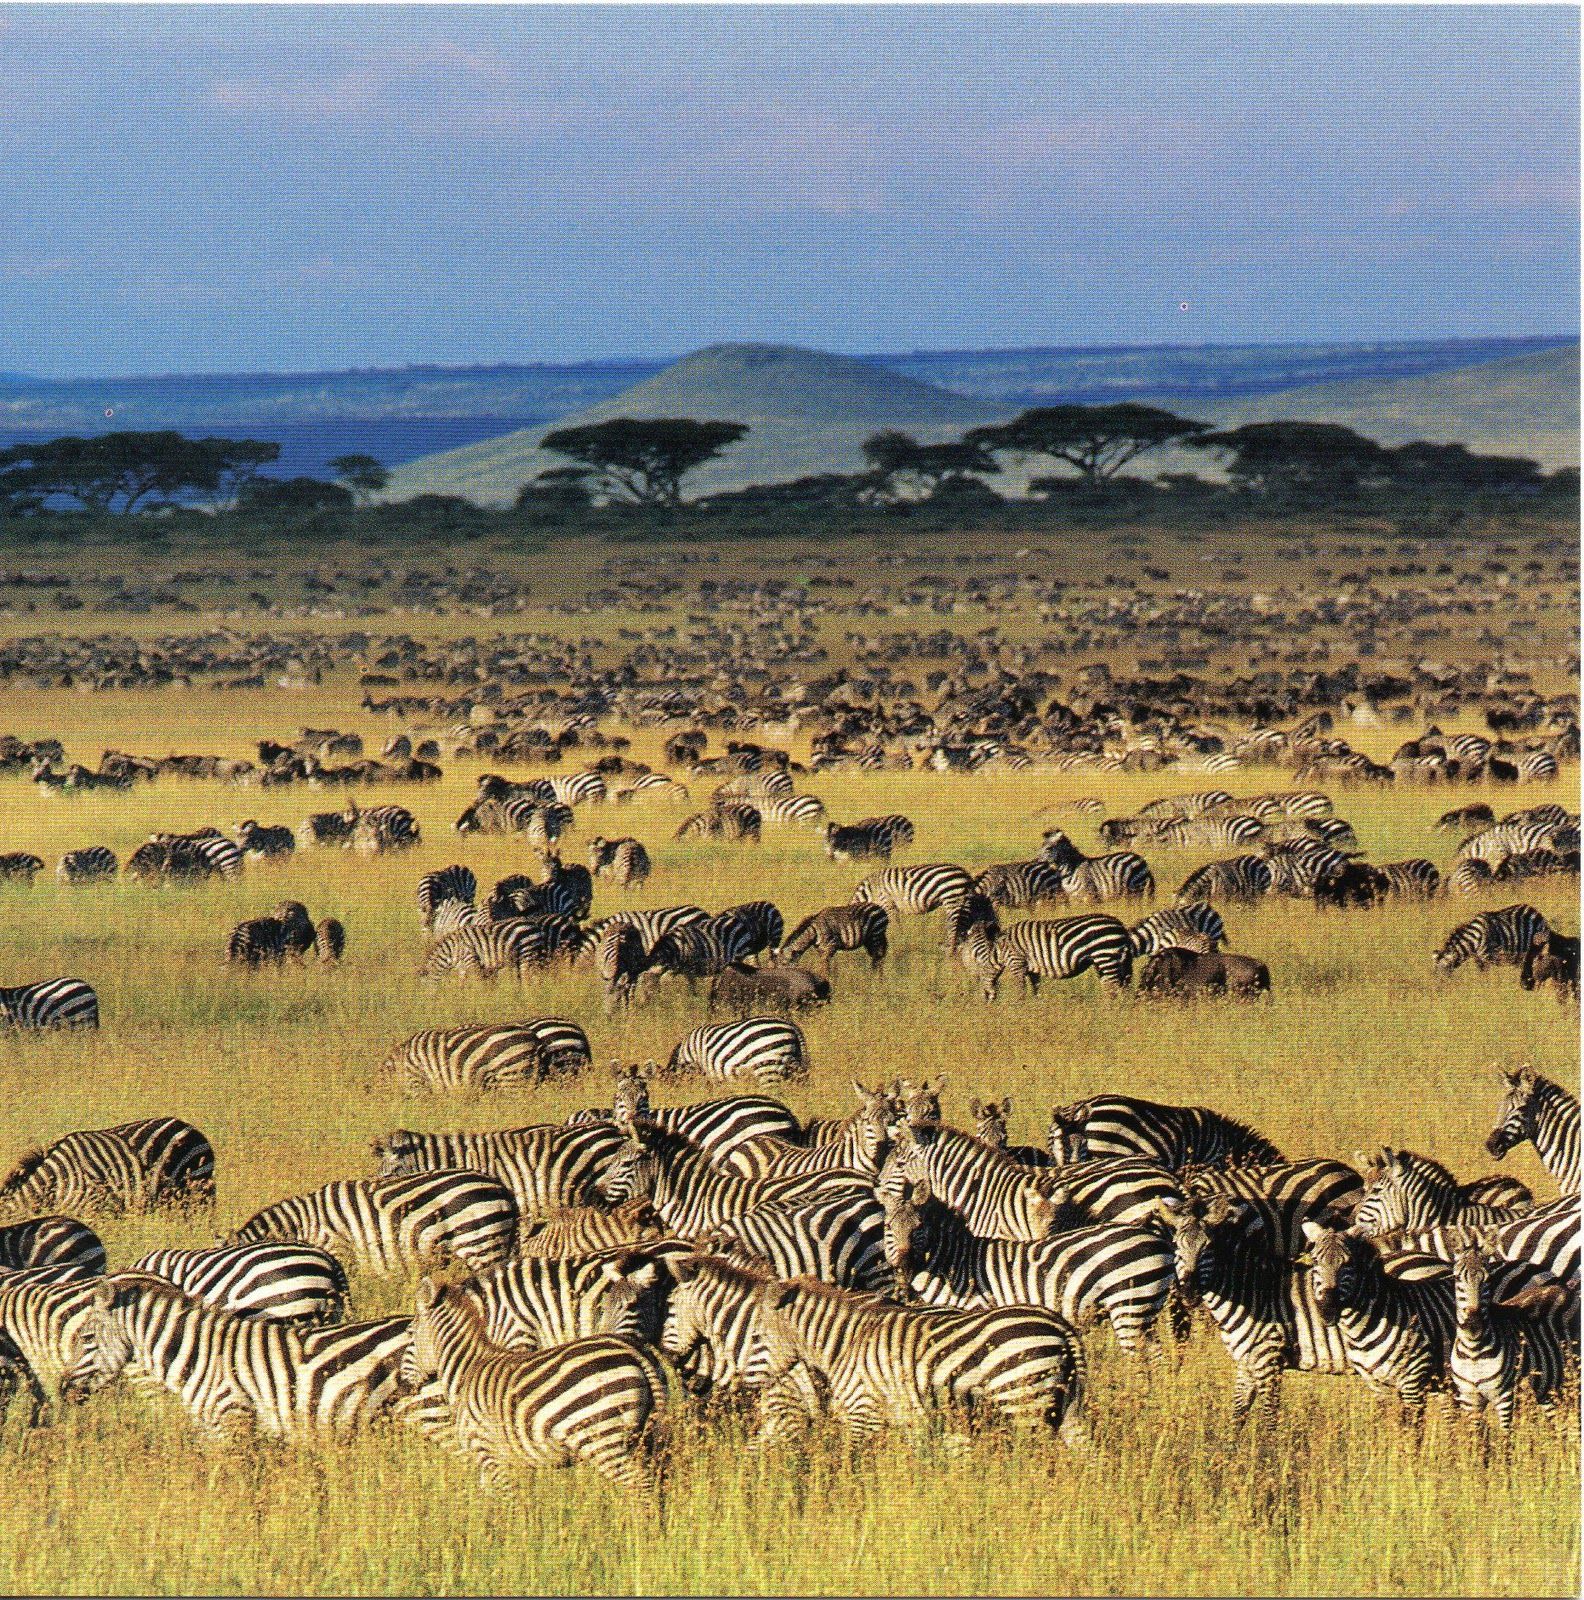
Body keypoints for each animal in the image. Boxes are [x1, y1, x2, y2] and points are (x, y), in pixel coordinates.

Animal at [407, 1278, 671, 1492]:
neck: (466, 1370)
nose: (404, 1384)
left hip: (602, 1437)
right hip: (643, 1438)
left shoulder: (489, 1454)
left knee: (640, 1484)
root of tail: (633, 1350)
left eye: (410, 1335)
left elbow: (506, 1503)